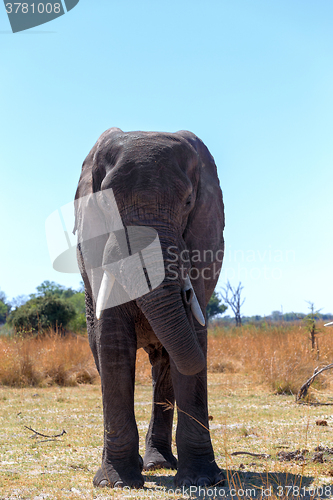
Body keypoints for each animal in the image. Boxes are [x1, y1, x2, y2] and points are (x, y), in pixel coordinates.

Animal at [74, 126, 224, 488]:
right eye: (104, 204)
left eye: (188, 202)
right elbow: (113, 342)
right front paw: (117, 482)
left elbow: (192, 338)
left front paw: (202, 480)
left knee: (166, 365)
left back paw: (158, 463)